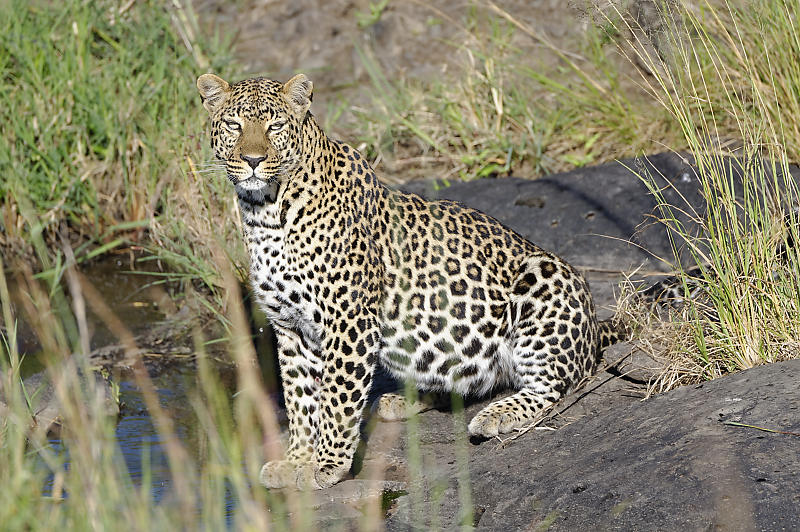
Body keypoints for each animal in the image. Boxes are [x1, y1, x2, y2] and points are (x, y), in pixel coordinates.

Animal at [197, 71, 628, 490]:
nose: (253, 160)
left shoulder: (348, 321)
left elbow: (335, 398)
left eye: (276, 126)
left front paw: (327, 466)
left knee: (554, 383)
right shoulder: (291, 327)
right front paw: (297, 461)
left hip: (544, 280)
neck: (264, 212)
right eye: (234, 125)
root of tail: (595, 326)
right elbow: (300, 400)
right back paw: (402, 400)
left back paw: (495, 415)